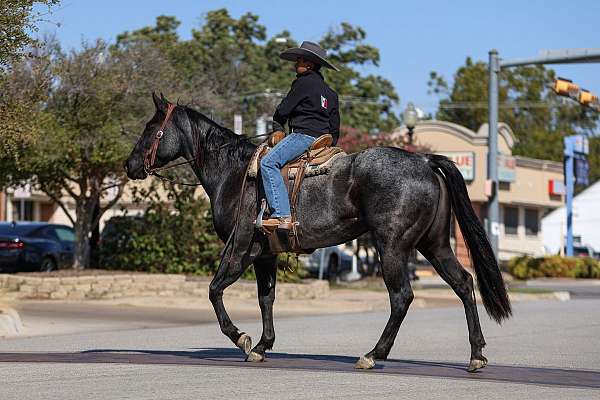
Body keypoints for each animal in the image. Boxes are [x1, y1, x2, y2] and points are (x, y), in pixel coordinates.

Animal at [125, 94, 510, 372]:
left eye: (150, 128)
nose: (130, 165)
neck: (235, 173)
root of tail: (425, 161)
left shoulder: (240, 249)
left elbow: (214, 290)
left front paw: (242, 339)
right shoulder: (265, 254)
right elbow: (266, 298)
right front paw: (263, 345)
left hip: (392, 246)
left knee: (402, 296)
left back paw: (373, 354)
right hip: (434, 244)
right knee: (463, 283)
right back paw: (476, 354)